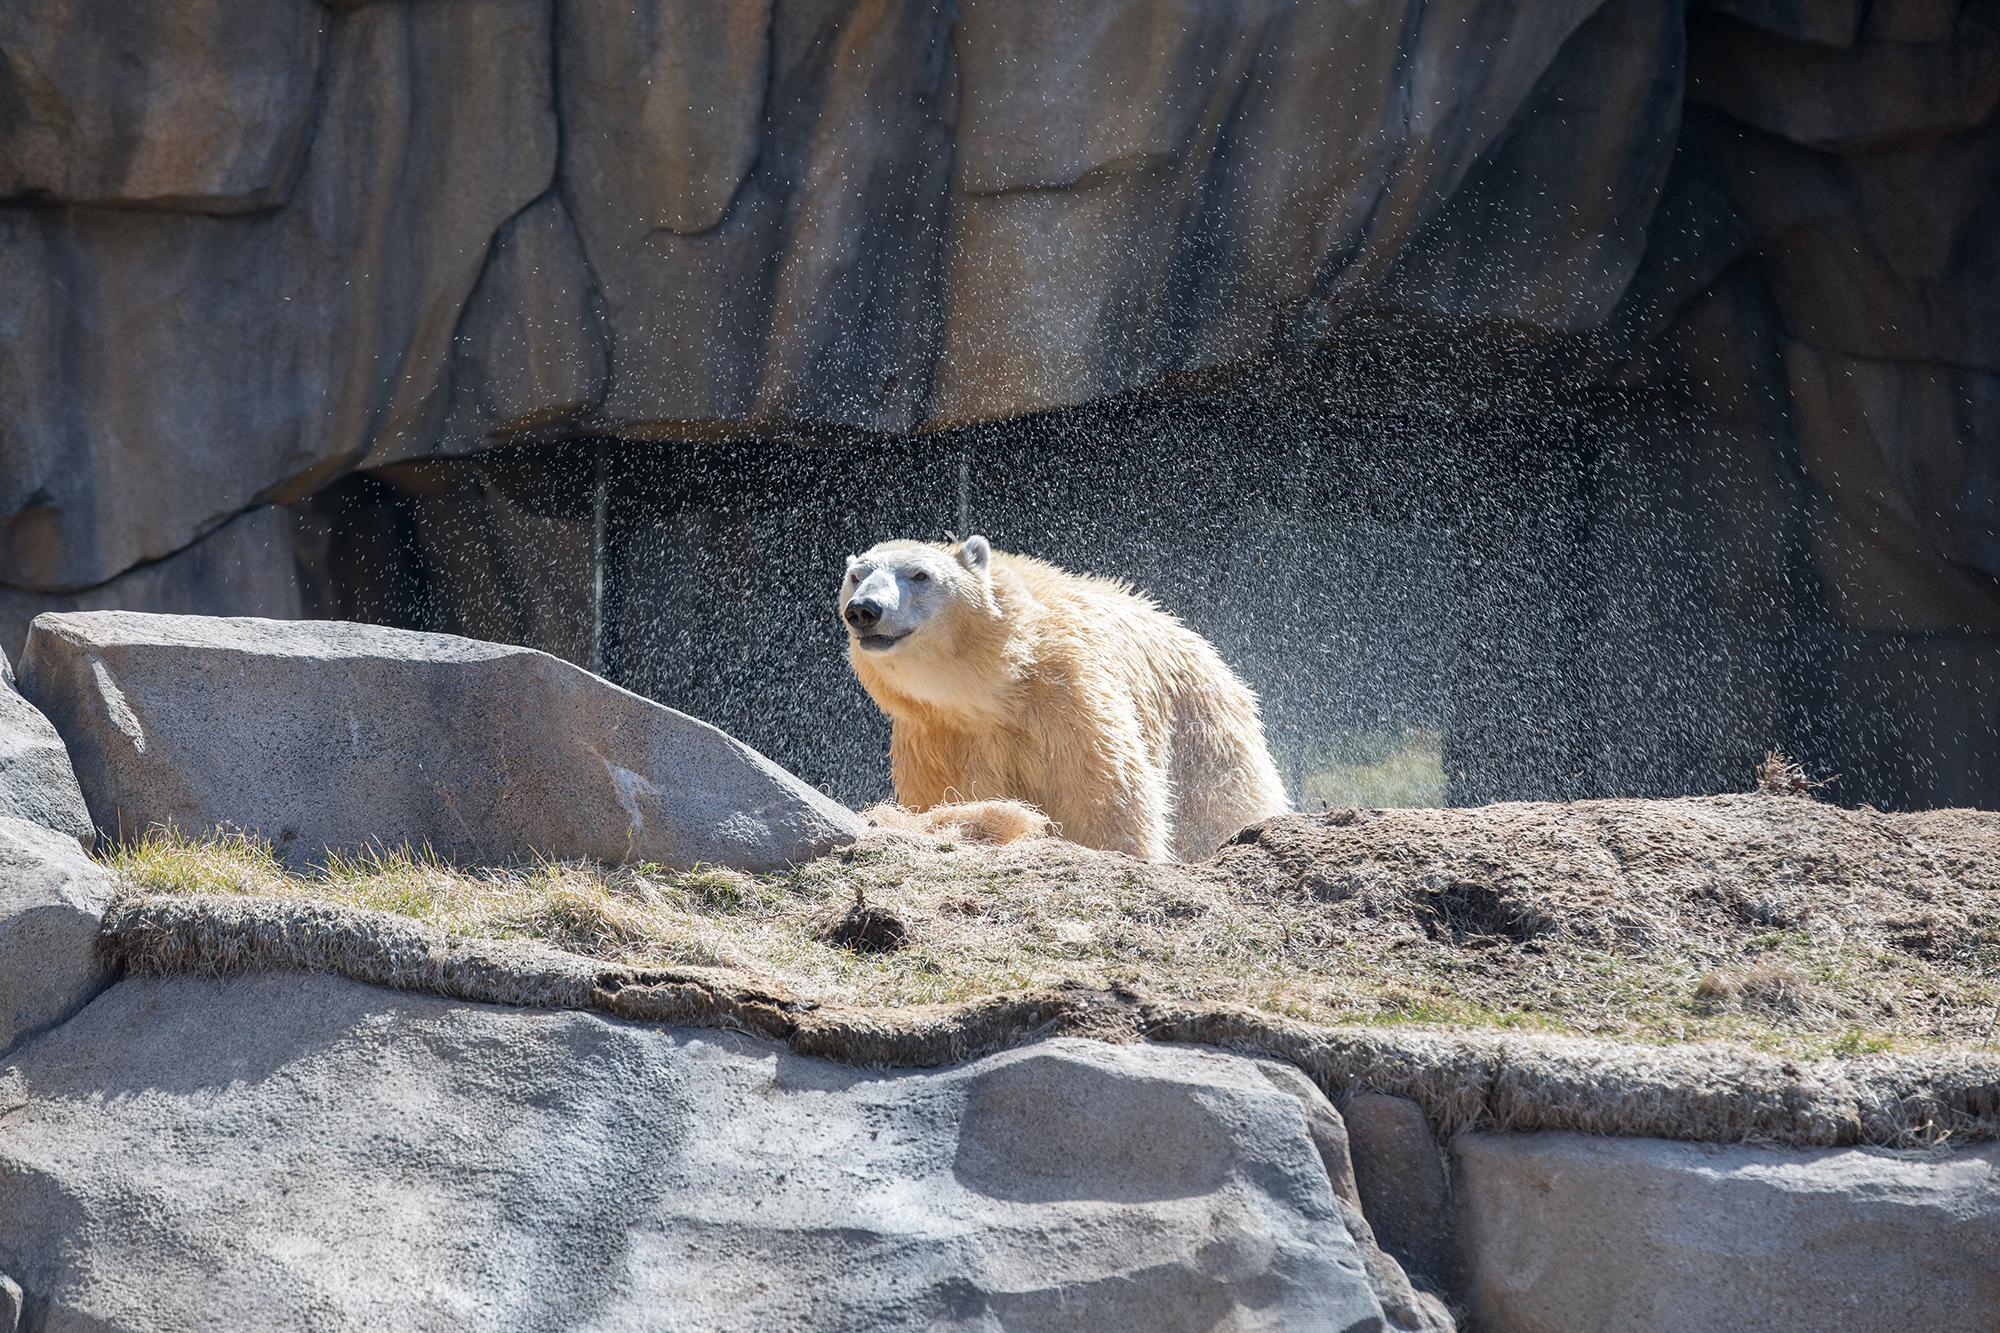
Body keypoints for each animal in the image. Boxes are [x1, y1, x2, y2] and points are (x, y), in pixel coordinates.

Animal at [836, 532, 1288, 856]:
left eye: (920, 575)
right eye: (857, 576)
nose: (864, 609)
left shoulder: (1069, 694)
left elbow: (1106, 793)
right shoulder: (937, 736)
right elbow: (945, 798)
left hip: (1205, 741)